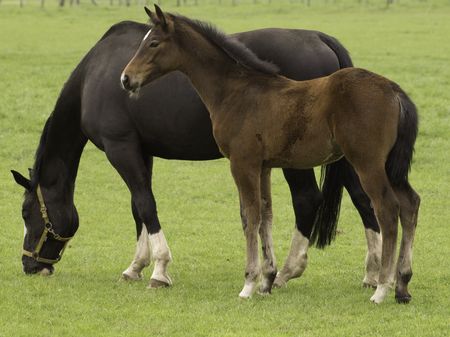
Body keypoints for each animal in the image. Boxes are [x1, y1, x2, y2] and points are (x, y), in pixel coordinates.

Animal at [12, 14, 382, 290]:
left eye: (27, 213)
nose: (30, 264)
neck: (96, 75)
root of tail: (320, 38)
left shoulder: (121, 148)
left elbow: (145, 204)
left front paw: (159, 269)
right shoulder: (141, 151)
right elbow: (138, 207)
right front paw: (136, 266)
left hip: (298, 158)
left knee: (307, 200)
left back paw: (287, 271)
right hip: (343, 154)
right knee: (364, 198)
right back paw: (373, 272)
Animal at [121, 5, 420, 304]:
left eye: (153, 43)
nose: (126, 78)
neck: (235, 91)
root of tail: (395, 90)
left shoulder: (242, 163)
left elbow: (249, 216)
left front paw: (249, 283)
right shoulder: (263, 166)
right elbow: (266, 215)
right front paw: (266, 281)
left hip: (368, 163)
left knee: (387, 209)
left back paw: (382, 288)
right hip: (389, 167)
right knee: (410, 203)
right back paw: (402, 285)